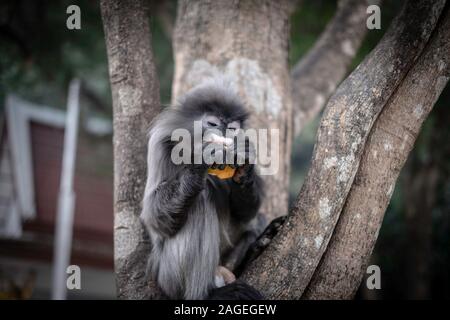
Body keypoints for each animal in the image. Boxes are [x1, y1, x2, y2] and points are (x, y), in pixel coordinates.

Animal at [141, 80, 268, 300]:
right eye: (213, 124)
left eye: (232, 128)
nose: (224, 134)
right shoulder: (160, 145)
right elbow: (153, 217)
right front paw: (199, 164)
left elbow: (246, 213)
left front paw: (244, 165)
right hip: (169, 277)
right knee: (199, 201)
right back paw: (209, 294)